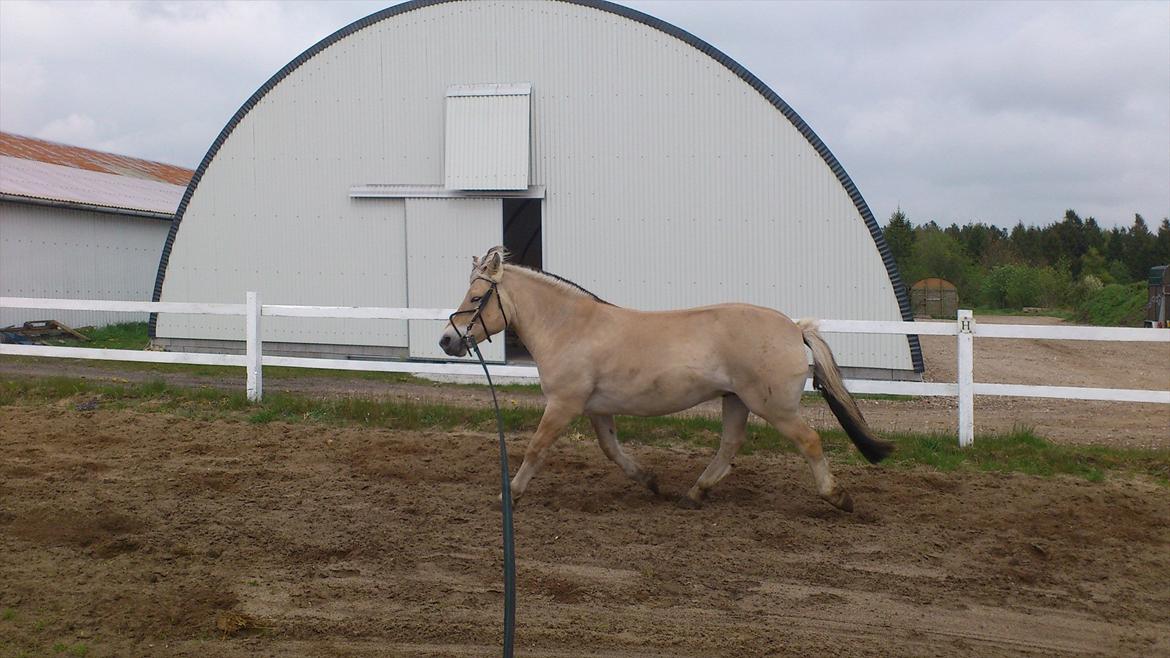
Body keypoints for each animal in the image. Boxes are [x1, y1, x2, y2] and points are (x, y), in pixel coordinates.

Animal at [439, 245, 893, 508]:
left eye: (476, 298)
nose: (447, 340)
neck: (571, 327)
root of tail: (794, 327)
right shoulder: (595, 408)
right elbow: (611, 450)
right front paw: (651, 481)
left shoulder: (563, 405)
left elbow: (536, 449)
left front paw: (509, 494)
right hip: (736, 400)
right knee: (729, 446)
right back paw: (694, 493)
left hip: (773, 406)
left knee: (809, 441)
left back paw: (837, 496)